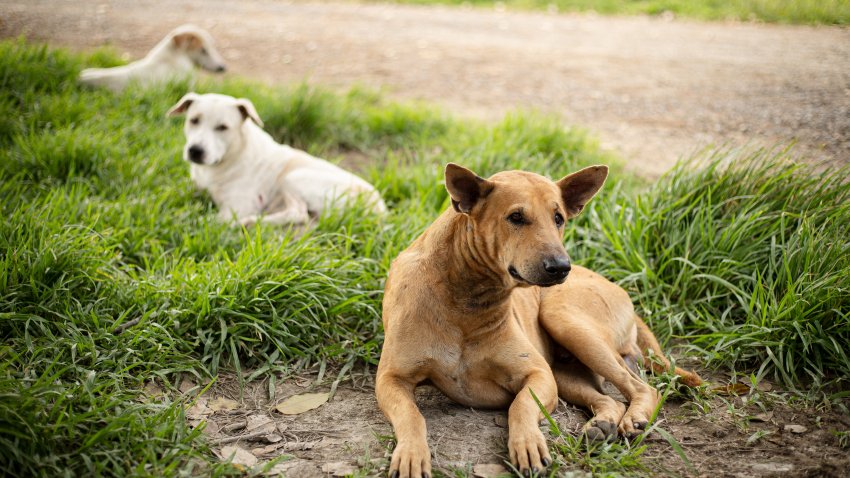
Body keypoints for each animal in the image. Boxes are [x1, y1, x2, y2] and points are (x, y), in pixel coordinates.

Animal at [167, 93, 386, 228]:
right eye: (194, 120)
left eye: (222, 127)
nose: (195, 150)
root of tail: (380, 208)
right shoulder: (193, 186)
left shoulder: (237, 207)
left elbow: (209, 221)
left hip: (293, 177)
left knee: (298, 213)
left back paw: (250, 222)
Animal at [378, 162, 704, 476]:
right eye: (516, 217)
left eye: (558, 218)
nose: (561, 267)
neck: (465, 298)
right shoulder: (390, 380)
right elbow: (412, 416)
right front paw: (411, 455)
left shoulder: (538, 374)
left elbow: (521, 406)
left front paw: (528, 444)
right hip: (565, 370)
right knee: (609, 398)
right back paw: (602, 425)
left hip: (566, 323)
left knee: (642, 387)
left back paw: (633, 418)